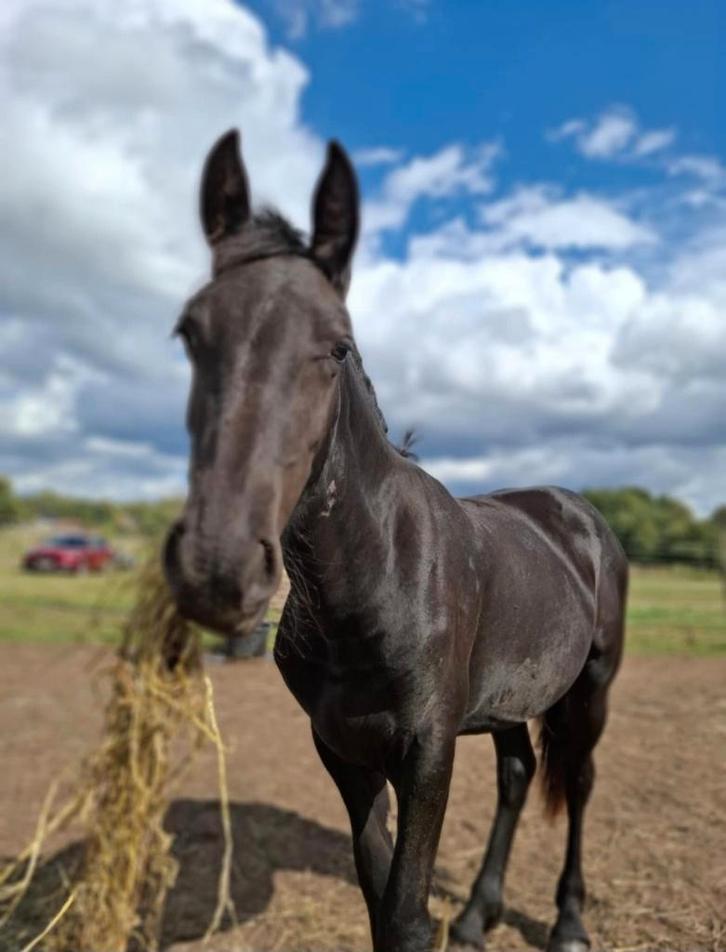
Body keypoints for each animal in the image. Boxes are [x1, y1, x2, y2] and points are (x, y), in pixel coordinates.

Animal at [164, 129, 628, 952]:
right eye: (190, 331)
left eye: (336, 345)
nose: (216, 568)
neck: (375, 577)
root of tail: (578, 515)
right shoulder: (342, 750)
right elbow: (382, 906)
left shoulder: (427, 752)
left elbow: (407, 916)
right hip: (509, 703)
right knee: (516, 778)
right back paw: (476, 915)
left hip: (591, 688)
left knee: (577, 784)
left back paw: (569, 921)